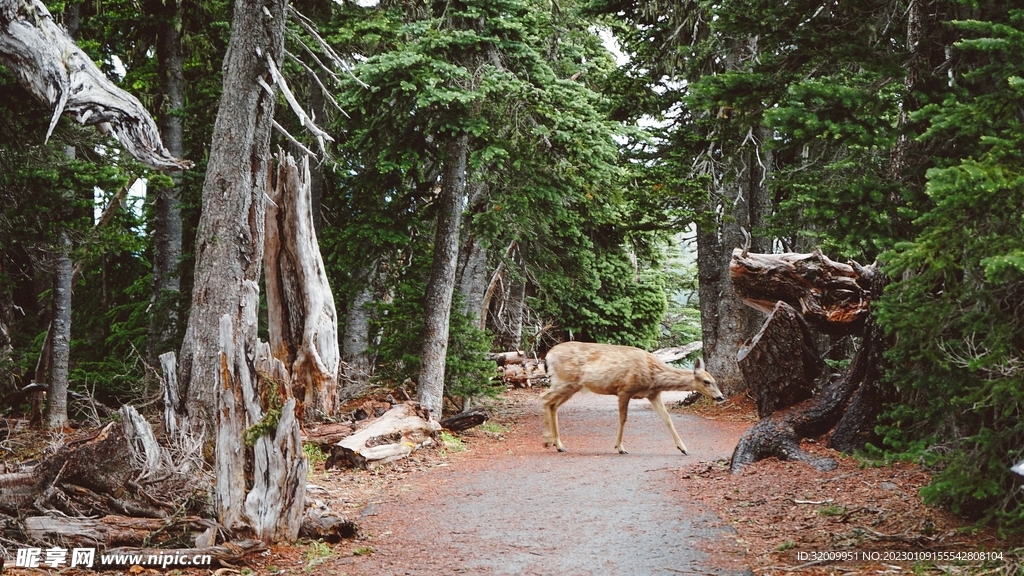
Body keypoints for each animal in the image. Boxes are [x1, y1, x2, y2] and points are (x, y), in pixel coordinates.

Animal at [541, 341, 725, 455]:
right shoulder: (624, 390)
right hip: (565, 381)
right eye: (706, 381)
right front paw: (620, 447)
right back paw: (553, 442)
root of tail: (548, 356)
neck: (654, 375)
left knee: (552, 404)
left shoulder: (653, 394)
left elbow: (667, 419)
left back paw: (554, 443)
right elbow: (623, 419)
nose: (721, 397)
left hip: (570, 386)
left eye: (715, 379)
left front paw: (683, 448)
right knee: (544, 398)